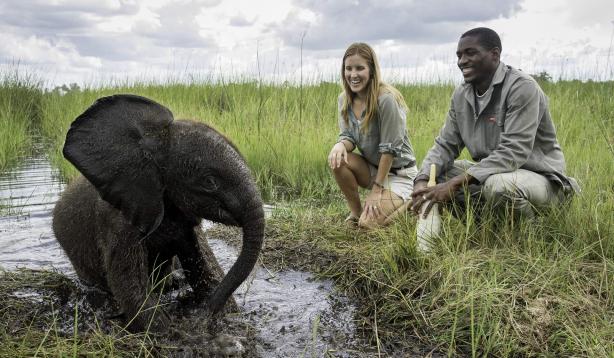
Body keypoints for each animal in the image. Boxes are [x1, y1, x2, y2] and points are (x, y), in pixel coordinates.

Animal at [53, 94, 264, 332]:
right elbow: (130, 287)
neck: (155, 142)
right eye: (210, 182)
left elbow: (206, 268)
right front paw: (172, 332)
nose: (202, 314)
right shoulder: (117, 219)